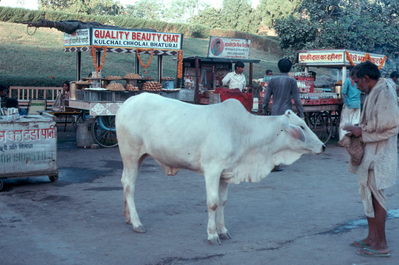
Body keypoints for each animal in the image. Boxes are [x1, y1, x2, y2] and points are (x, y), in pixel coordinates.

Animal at [115, 92, 324, 243]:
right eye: (301, 126)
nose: (322, 146)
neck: (243, 132)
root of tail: (127, 103)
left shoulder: (226, 173)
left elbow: (223, 202)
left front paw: (223, 231)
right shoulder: (212, 170)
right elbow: (213, 202)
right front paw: (212, 235)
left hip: (137, 158)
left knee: (124, 182)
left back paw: (127, 217)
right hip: (131, 155)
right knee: (130, 186)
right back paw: (136, 223)